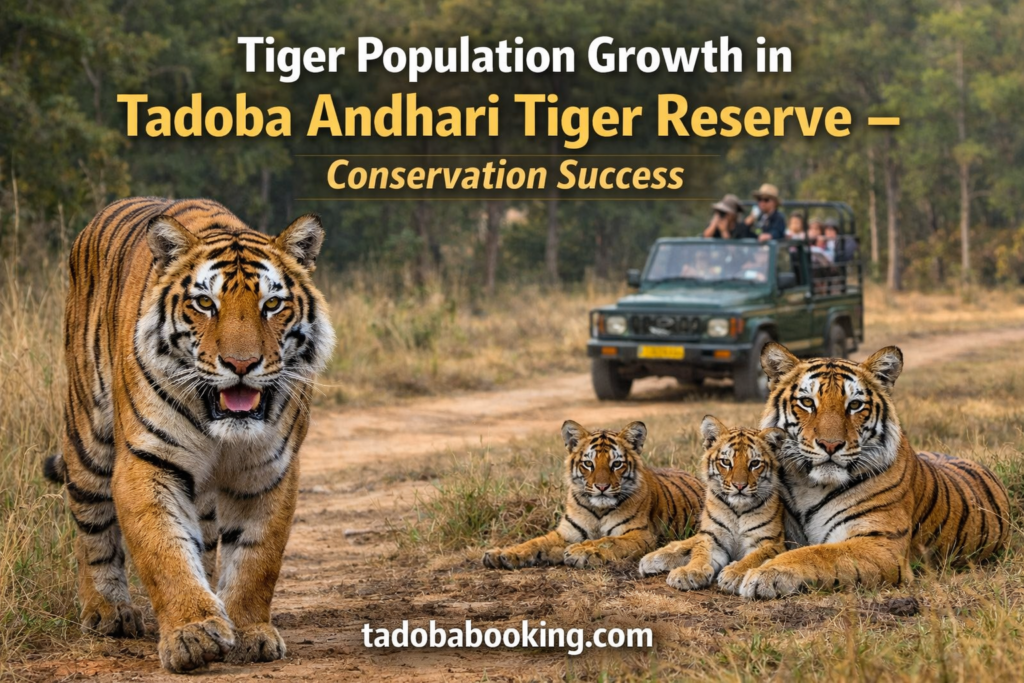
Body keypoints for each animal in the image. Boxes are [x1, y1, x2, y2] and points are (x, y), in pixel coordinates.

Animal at [42, 197, 335, 672]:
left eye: (273, 304)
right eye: (204, 303)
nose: (241, 364)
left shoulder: (267, 470)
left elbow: (256, 558)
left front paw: (249, 631)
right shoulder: (148, 462)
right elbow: (166, 553)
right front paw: (193, 634)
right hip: (87, 438)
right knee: (92, 530)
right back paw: (107, 611)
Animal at [482, 420, 704, 570]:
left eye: (617, 464)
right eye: (589, 463)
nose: (602, 486)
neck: (598, 508)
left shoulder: (639, 535)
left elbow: (608, 540)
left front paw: (582, 550)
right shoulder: (566, 533)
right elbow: (535, 542)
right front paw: (503, 553)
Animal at [639, 416, 787, 594]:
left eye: (754, 463)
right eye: (726, 462)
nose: (739, 486)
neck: (738, 511)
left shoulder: (769, 542)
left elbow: (753, 557)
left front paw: (734, 573)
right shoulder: (712, 537)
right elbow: (700, 554)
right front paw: (689, 572)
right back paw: (653, 558)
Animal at [737, 342, 1010, 599]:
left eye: (855, 405)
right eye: (807, 403)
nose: (830, 445)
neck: (810, 485)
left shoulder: (880, 545)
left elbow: (817, 553)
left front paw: (765, 574)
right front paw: (739, 570)